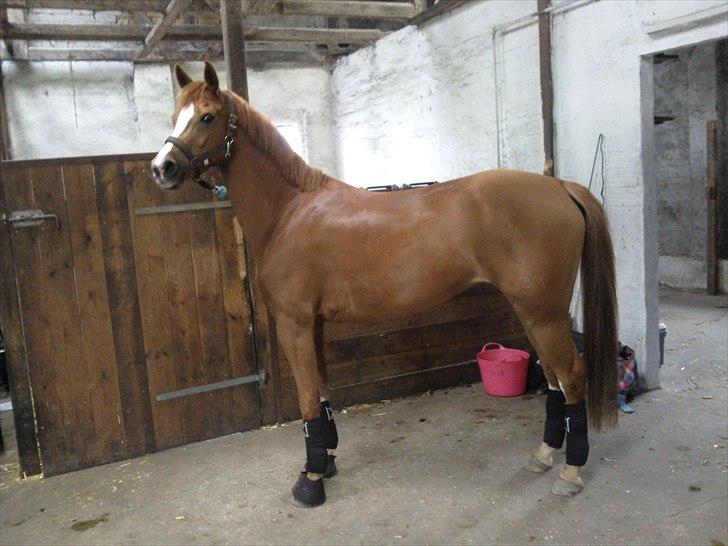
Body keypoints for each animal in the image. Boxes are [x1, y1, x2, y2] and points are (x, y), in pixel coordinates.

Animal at [151, 62, 618, 507]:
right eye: (175, 116)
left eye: (207, 117)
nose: (162, 168)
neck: (291, 211)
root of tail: (559, 186)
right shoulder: (314, 324)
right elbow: (322, 391)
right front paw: (326, 460)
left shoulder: (295, 323)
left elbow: (307, 399)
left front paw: (311, 481)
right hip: (533, 311)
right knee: (554, 378)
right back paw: (543, 454)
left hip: (543, 312)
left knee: (572, 375)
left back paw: (571, 472)